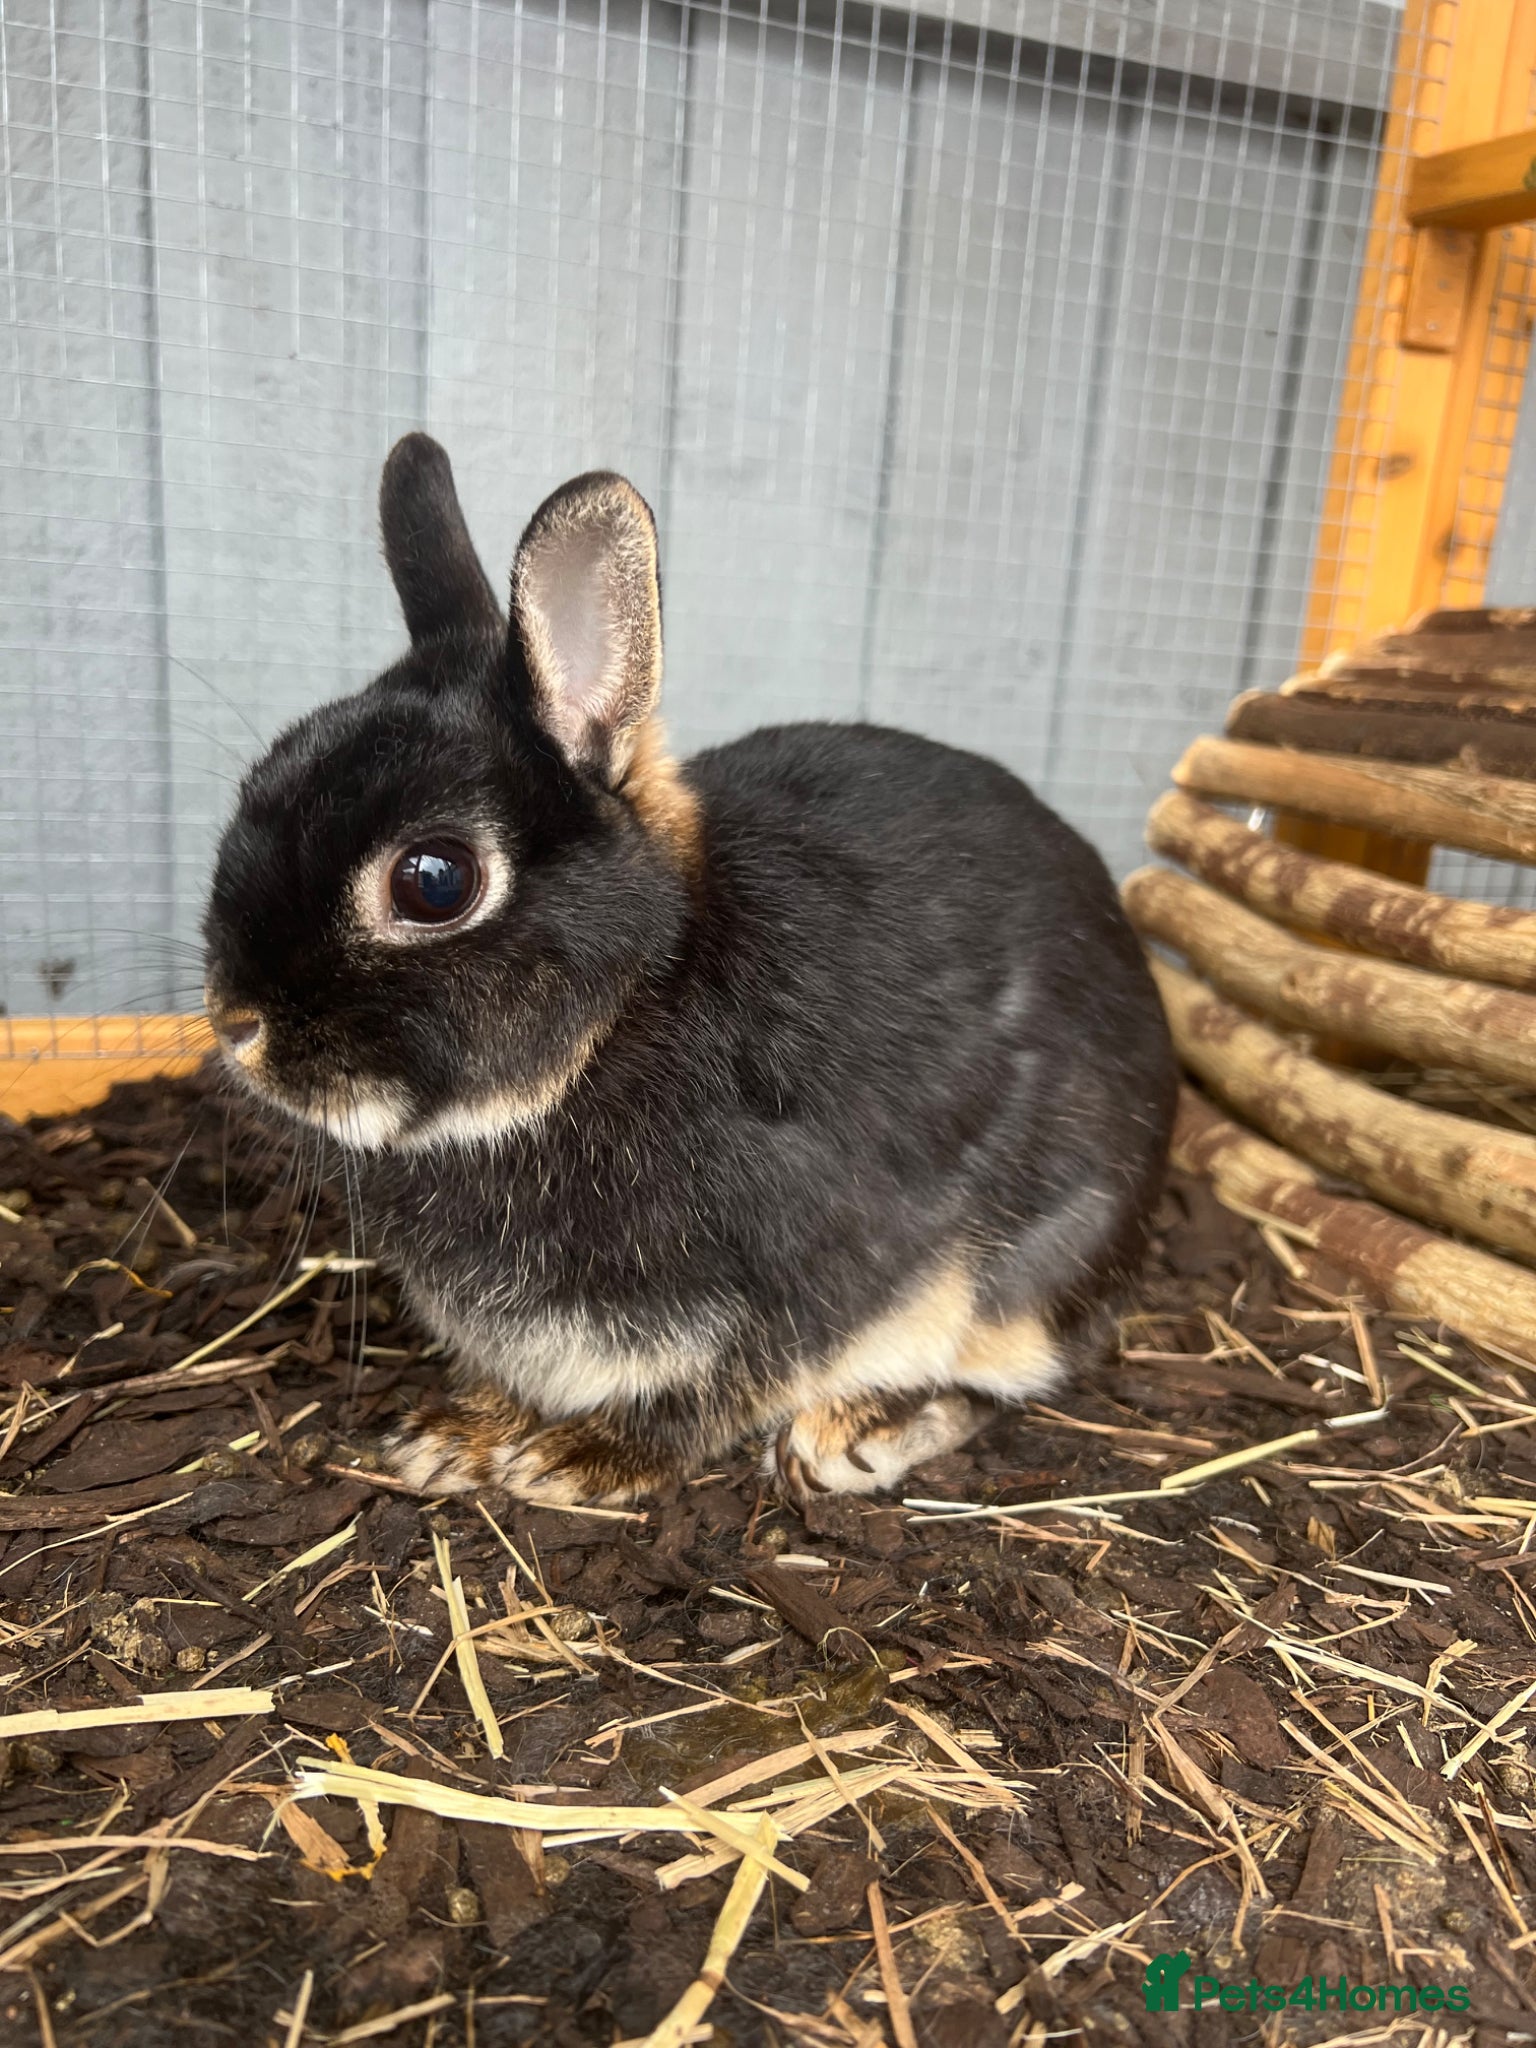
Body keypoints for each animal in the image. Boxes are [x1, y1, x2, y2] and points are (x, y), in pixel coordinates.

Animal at [203, 434, 1177, 1506]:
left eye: (433, 880)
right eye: (259, 781)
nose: (235, 1022)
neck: (621, 1016)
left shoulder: (807, 1281)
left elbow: (722, 1389)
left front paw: (578, 1457)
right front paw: (457, 1436)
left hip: (1028, 1270)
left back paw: (856, 1434)